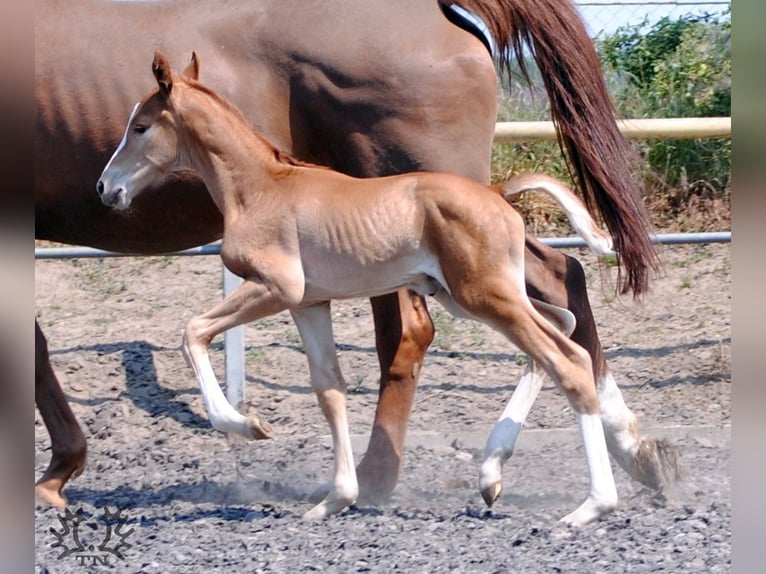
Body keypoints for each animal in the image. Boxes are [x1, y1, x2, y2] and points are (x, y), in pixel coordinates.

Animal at [35, 0, 676, 509]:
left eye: (140, 126)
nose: (106, 189)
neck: (262, 185)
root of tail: (498, 194)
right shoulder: (308, 303)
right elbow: (330, 390)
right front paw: (332, 498)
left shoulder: (276, 288)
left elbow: (192, 332)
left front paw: (246, 425)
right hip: (474, 295)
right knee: (560, 328)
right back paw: (501, 471)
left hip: (482, 295)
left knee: (557, 347)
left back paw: (590, 498)